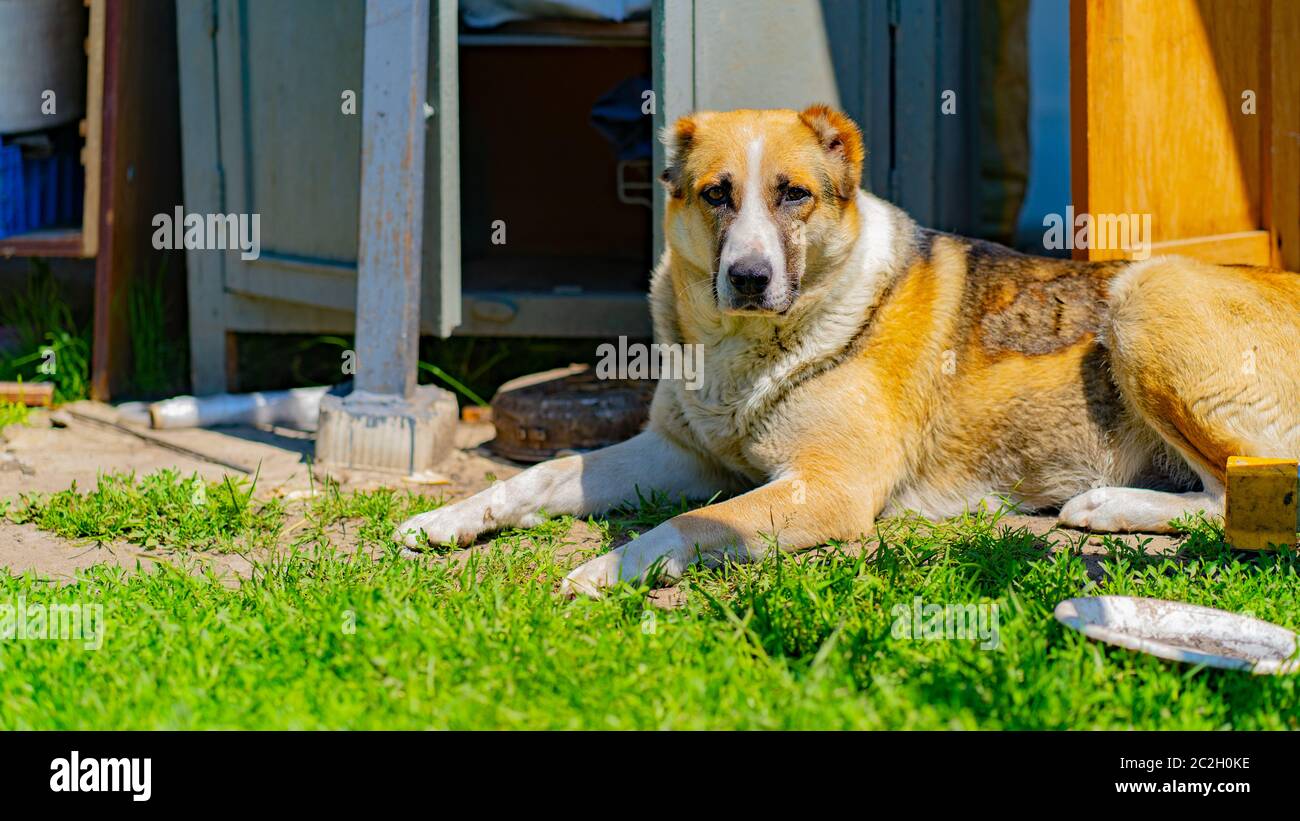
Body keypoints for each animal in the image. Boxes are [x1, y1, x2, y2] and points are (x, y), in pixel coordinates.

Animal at [392, 107, 1300, 597]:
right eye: (717, 194)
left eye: (793, 193)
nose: (750, 276)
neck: (751, 347)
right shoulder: (677, 453)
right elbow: (544, 475)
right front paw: (450, 518)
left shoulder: (827, 489)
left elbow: (686, 523)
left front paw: (611, 570)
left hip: (1143, 297)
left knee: (1248, 495)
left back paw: (1112, 505)